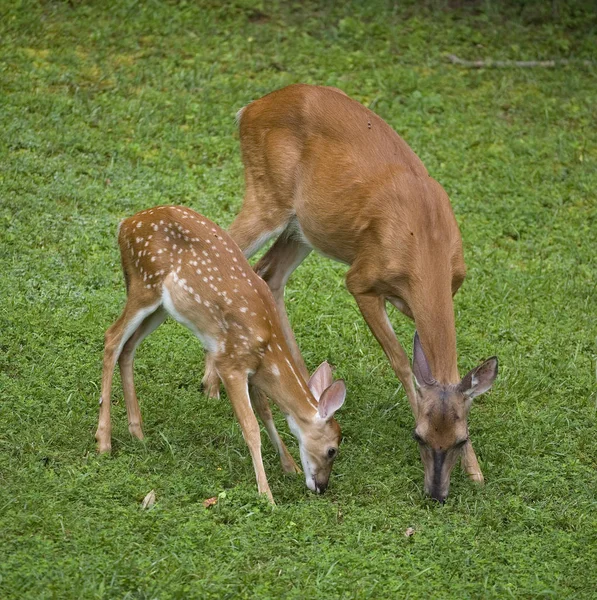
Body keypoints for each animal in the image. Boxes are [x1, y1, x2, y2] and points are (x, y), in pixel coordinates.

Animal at [93, 206, 344, 502]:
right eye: (332, 450)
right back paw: (103, 441)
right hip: (144, 283)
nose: (321, 486)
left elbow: (266, 413)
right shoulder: (230, 363)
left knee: (128, 347)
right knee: (112, 338)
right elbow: (251, 427)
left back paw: (138, 433)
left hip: (161, 306)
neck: (268, 346)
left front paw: (289, 465)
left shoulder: (252, 369)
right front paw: (267, 495)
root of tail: (125, 225)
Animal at [205, 82, 498, 500]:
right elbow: (402, 363)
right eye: (419, 437)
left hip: (304, 226)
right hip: (268, 196)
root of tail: (250, 109)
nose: (436, 493)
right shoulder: (361, 281)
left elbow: (446, 369)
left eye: (460, 438)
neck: (425, 241)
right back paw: (212, 383)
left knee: (268, 273)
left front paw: (475, 472)